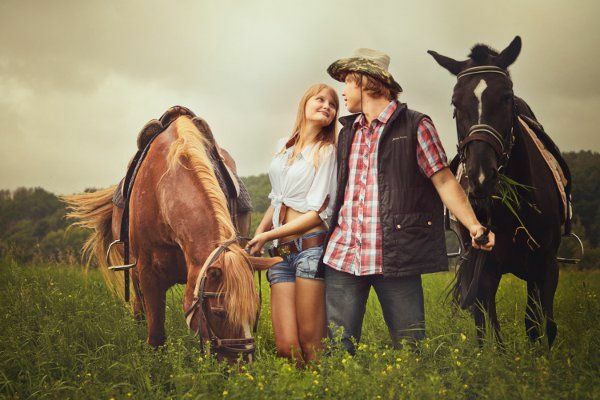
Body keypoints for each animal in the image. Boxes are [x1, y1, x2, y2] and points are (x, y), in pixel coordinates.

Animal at [426, 36, 572, 346]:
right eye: (455, 103)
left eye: (506, 97)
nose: (480, 177)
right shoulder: (484, 269)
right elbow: (488, 329)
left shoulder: (545, 267)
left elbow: (540, 325)